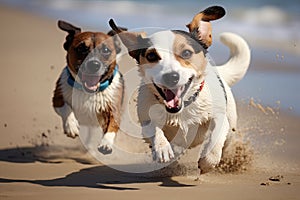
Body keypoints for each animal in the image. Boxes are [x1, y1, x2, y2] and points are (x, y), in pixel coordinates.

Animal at [52, 20, 124, 153]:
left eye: (106, 50)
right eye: (81, 48)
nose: (94, 64)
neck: (88, 92)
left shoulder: (114, 110)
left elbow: (112, 126)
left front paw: (106, 143)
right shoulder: (57, 98)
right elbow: (66, 107)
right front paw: (71, 125)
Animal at [109, 5, 251, 173]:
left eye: (186, 53)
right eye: (151, 56)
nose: (171, 77)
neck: (181, 109)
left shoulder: (219, 116)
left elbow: (215, 137)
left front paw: (208, 161)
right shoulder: (146, 118)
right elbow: (154, 130)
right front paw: (163, 148)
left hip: (230, 127)